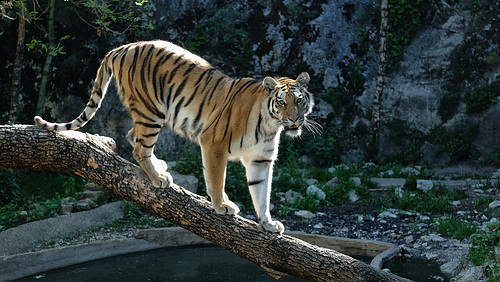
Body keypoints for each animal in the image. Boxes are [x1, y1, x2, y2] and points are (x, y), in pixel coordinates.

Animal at [35, 40, 318, 234]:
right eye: (281, 102)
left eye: (299, 100)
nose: (294, 120)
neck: (271, 125)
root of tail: (123, 47)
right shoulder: (213, 144)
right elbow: (216, 181)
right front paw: (221, 206)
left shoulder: (260, 161)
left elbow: (262, 194)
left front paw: (268, 224)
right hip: (151, 111)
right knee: (139, 147)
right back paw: (158, 178)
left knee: (132, 136)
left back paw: (159, 167)